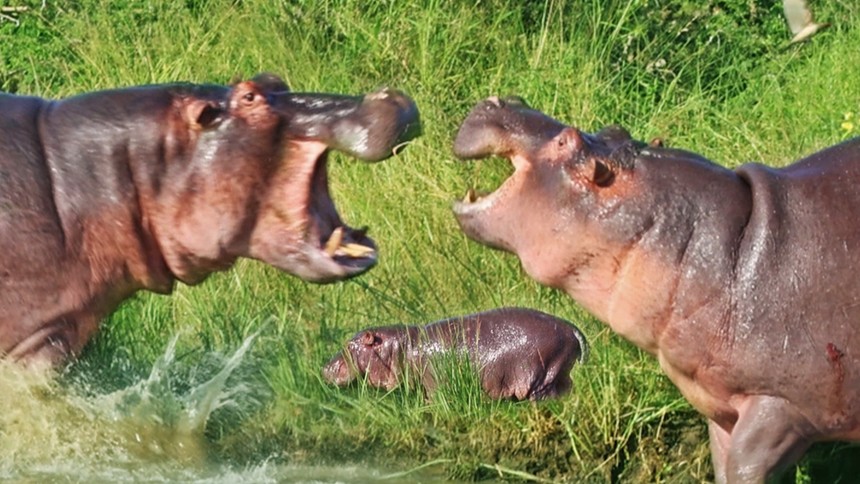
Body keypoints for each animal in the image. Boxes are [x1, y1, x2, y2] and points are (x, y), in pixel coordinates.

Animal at [320, 308, 588, 398]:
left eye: (350, 345)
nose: (324, 367)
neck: (405, 346)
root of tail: (571, 328)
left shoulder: (434, 385)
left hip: (544, 376)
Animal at [450, 96, 860, 482]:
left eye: (566, 142)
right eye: (613, 128)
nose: (504, 101)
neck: (732, 250)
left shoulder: (779, 409)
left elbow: (745, 467)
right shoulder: (722, 410)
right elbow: (723, 463)